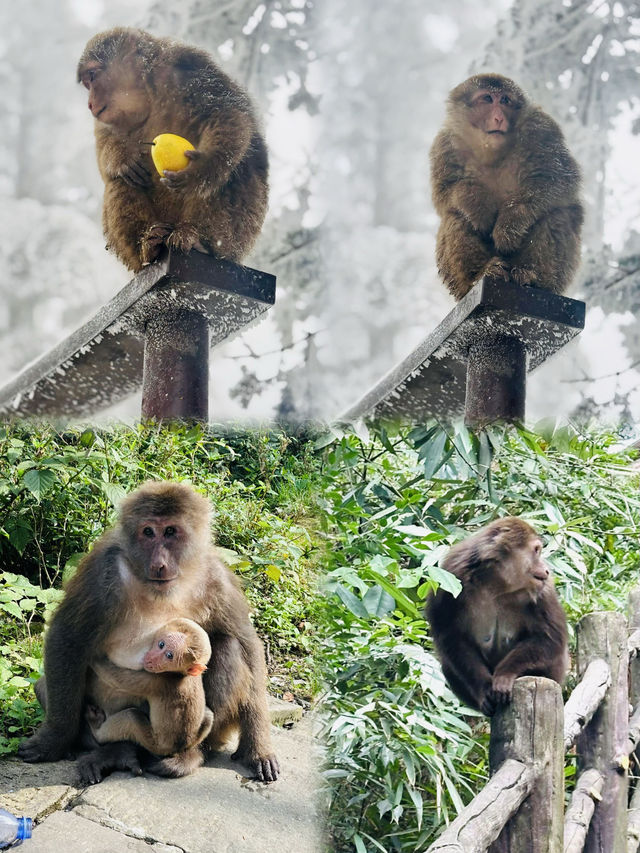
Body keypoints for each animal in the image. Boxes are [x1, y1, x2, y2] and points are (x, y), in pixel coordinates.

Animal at [76, 28, 268, 272]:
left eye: (93, 76)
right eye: (86, 83)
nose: (90, 104)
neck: (147, 93)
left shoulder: (188, 67)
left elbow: (226, 114)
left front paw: (203, 167)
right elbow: (105, 146)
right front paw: (122, 158)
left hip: (236, 239)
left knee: (235, 169)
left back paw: (200, 241)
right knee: (120, 181)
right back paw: (148, 247)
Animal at [84, 620, 215, 752]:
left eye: (169, 655)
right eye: (161, 644)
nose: (151, 659)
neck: (180, 674)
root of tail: (176, 747)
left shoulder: (156, 680)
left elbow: (114, 677)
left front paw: (92, 656)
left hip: (153, 744)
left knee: (132, 717)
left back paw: (96, 729)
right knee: (209, 715)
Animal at [424, 516, 568, 716]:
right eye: (536, 550)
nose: (546, 569)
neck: (498, 583)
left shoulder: (544, 590)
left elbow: (550, 638)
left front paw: (505, 674)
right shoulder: (450, 575)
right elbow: (451, 637)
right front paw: (484, 688)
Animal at [430, 73, 584, 302]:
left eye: (505, 100)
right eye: (487, 98)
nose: (499, 117)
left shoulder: (541, 129)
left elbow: (557, 179)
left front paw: (509, 225)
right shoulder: (444, 144)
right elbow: (444, 193)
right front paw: (478, 206)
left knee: (557, 214)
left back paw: (531, 275)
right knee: (455, 216)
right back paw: (481, 273)